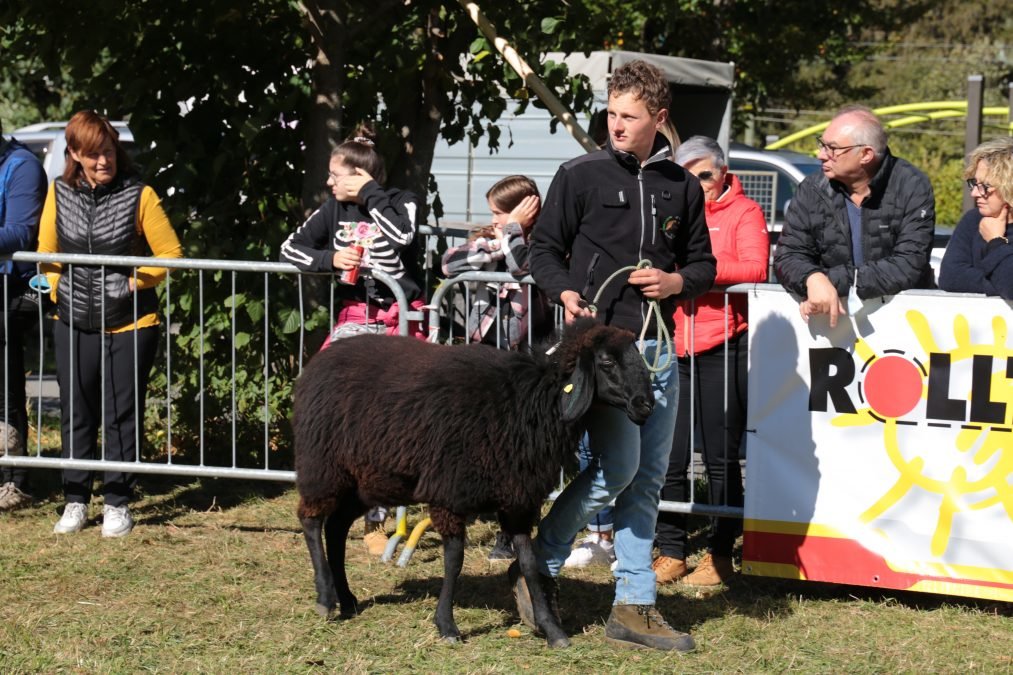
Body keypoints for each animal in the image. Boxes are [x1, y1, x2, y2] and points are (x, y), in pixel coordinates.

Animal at [293, 318, 656, 644]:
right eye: (607, 362)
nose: (646, 405)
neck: (529, 401)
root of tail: (319, 360)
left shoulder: (518, 499)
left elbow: (528, 562)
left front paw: (551, 629)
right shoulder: (450, 492)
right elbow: (454, 560)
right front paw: (447, 625)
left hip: (365, 481)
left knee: (336, 528)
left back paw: (347, 598)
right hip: (323, 467)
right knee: (311, 520)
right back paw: (325, 598)